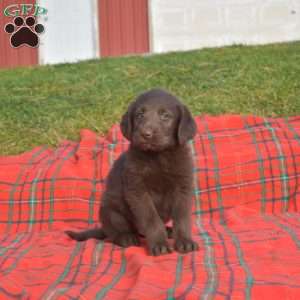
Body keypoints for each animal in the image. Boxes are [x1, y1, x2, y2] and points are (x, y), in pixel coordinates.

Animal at [67, 89, 199, 255]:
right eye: (139, 115)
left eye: (165, 116)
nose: (146, 134)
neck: (158, 156)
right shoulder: (138, 190)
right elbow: (151, 219)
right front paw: (159, 244)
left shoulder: (183, 187)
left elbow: (182, 218)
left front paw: (185, 241)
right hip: (111, 211)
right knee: (115, 233)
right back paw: (127, 237)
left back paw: (169, 231)